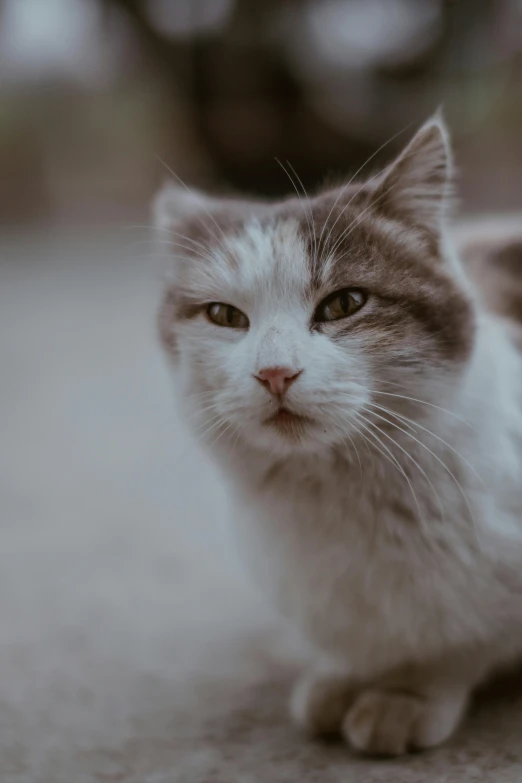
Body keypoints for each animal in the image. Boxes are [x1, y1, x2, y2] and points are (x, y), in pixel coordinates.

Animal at [154, 113, 522, 756]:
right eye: (224, 316)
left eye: (345, 303)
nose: (275, 372)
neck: (340, 497)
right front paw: (347, 674)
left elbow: (459, 639)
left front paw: (406, 692)